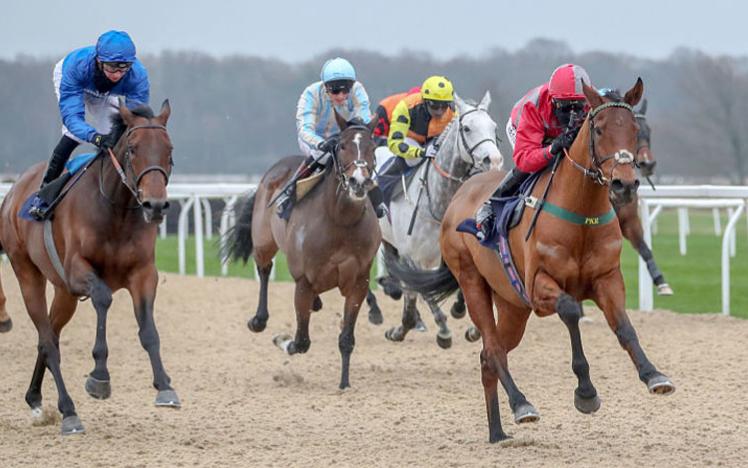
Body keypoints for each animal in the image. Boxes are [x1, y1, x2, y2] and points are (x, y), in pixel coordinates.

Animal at [0, 100, 180, 436]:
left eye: (169, 149)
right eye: (133, 148)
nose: (155, 205)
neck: (116, 212)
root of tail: (14, 191)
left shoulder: (144, 274)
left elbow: (149, 330)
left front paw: (165, 386)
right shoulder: (78, 271)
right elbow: (103, 298)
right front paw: (99, 376)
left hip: (63, 293)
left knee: (49, 336)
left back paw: (35, 398)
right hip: (27, 272)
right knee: (48, 341)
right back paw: (69, 412)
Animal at [225, 112, 380, 388]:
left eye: (372, 147)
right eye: (342, 146)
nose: (359, 181)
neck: (340, 219)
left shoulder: (359, 282)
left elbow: (346, 339)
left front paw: (344, 383)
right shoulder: (303, 281)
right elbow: (301, 341)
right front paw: (281, 340)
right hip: (263, 240)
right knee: (264, 268)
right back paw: (258, 319)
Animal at [372, 92, 502, 348]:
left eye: (493, 127)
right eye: (467, 128)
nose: (493, 160)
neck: (439, 203)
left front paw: (470, 323)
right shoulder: (413, 257)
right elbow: (425, 291)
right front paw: (443, 331)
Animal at [388, 80, 676, 442]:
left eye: (635, 130)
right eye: (598, 129)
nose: (625, 184)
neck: (581, 213)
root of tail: (460, 195)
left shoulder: (607, 279)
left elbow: (624, 327)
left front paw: (653, 374)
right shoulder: (539, 288)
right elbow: (570, 310)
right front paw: (585, 392)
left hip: (512, 305)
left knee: (488, 356)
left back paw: (497, 432)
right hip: (472, 283)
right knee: (492, 349)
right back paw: (521, 404)